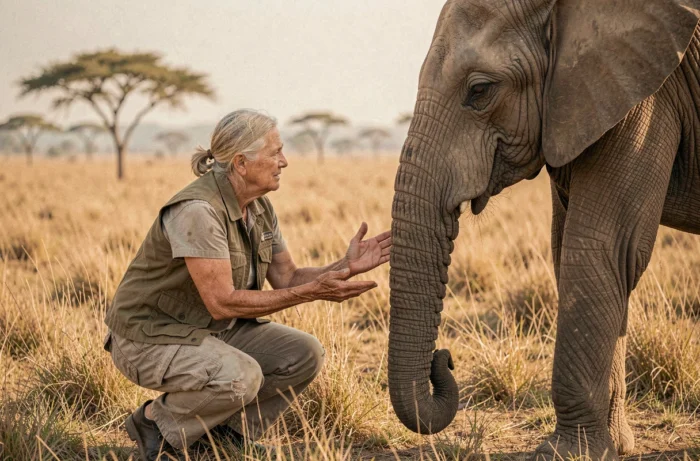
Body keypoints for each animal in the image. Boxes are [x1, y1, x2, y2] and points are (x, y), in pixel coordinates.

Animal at [388, 0, 700, 459]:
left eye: (480, 91)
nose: (444, 358)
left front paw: (565, 453)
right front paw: (612, 448)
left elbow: (599, 247)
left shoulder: (647, 97)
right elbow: (568, 248)